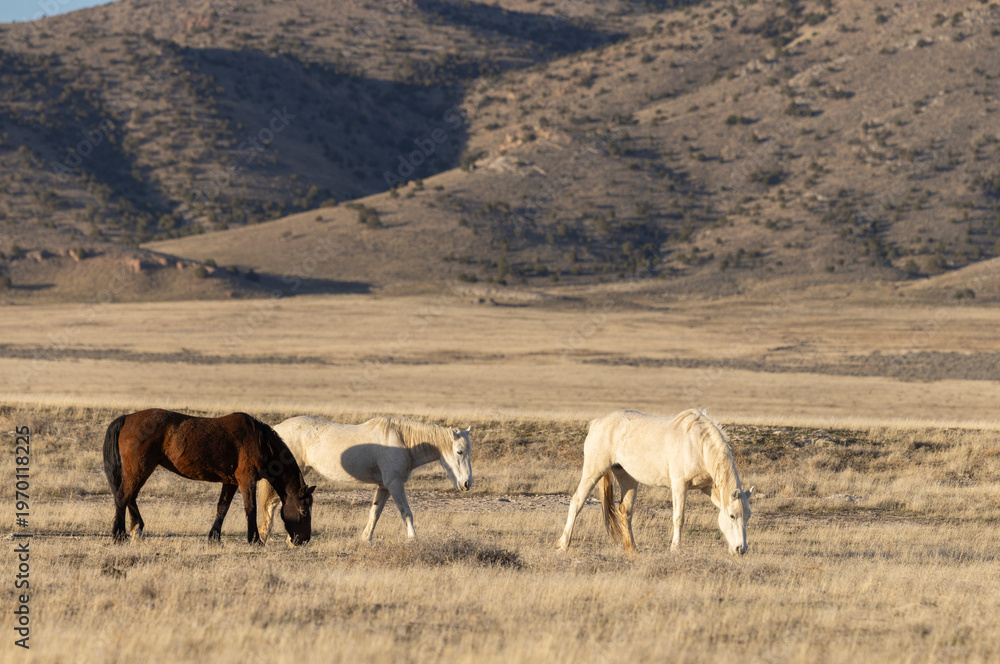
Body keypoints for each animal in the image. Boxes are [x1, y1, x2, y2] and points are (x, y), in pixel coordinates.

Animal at [102, 409, 316, 545]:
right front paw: (254, 539)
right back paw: (119, 535)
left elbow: (222, 508)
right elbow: (250, 508)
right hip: (139, 468)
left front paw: (214, 537)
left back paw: (136, 529)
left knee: (131, 497)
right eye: (304, 511)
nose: (304, 540)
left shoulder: (230, 482)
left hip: (144, 469)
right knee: (123, 496)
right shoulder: (246, 480)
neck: (260, 440)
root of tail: (127, 418)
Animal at [257, 416, 472, 542]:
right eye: (459, 452)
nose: (467, 483)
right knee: (271, 504)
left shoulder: (384, 486)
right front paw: (413, 538)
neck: (403, 441)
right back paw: (267, 535)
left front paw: (366, 538)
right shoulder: (395, 485)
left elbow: (375, 513)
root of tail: (277, 429)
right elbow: (406, 512)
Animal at [557, 409, 753, 555]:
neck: (698, 444)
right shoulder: (679, 486)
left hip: (627, 477)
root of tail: (596, 422)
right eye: (732, 516)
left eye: (747, 516)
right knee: (577, 502)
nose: (741, 549)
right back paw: (563, 544)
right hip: (594, 471)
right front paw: (676, 549)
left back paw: (632, 550)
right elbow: (679, 517)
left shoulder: (709, 488)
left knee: (625, 511)